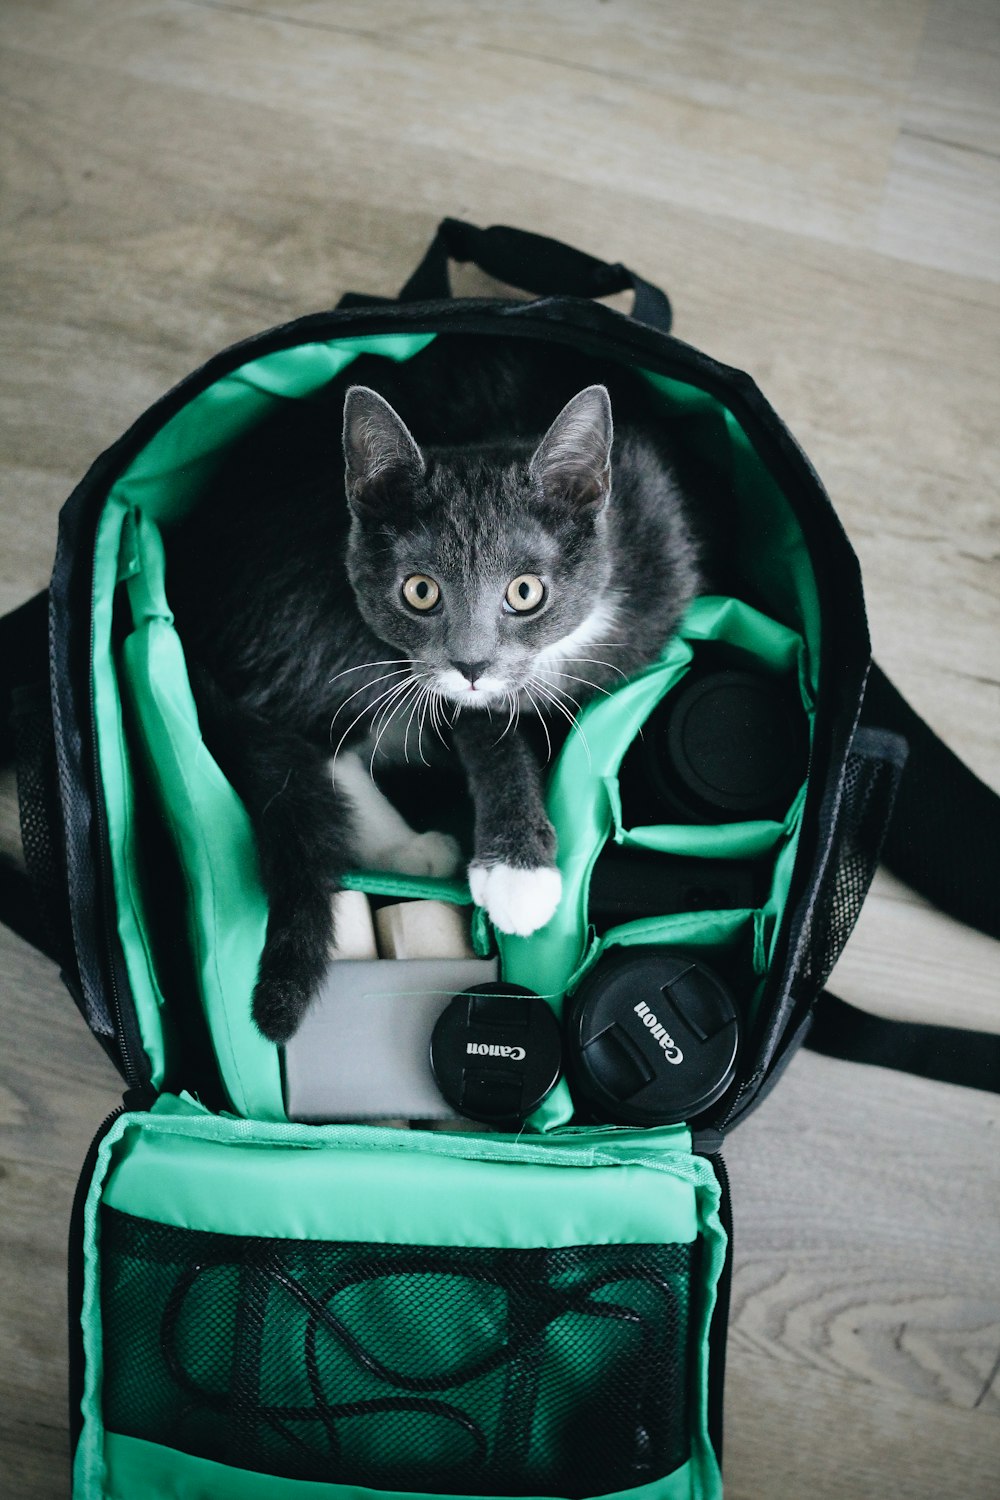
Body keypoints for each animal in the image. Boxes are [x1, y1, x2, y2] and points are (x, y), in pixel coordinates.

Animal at [167, 333, 701, 1038]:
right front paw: (518, 869)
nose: (471, 665)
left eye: (525, 592)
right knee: (309, 728)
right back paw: (409, 847)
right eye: (420, 591)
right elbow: (485, 731)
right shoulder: (436, 675)